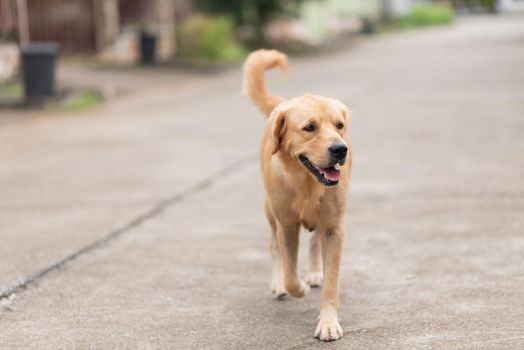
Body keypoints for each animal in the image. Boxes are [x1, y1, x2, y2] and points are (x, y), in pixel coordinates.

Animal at [245, 50, 352, 342]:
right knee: (274, 248)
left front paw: (328, 322)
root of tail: (283, 104)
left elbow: (331, 282)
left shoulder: (334, 229)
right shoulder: (287, 225)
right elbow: (291, 273)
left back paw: (314, 272)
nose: (341, 149)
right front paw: (296, 287)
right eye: (309, 127)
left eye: (339, 125)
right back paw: (279, 282)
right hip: (270, 212)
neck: (306, 184)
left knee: (315, 244)